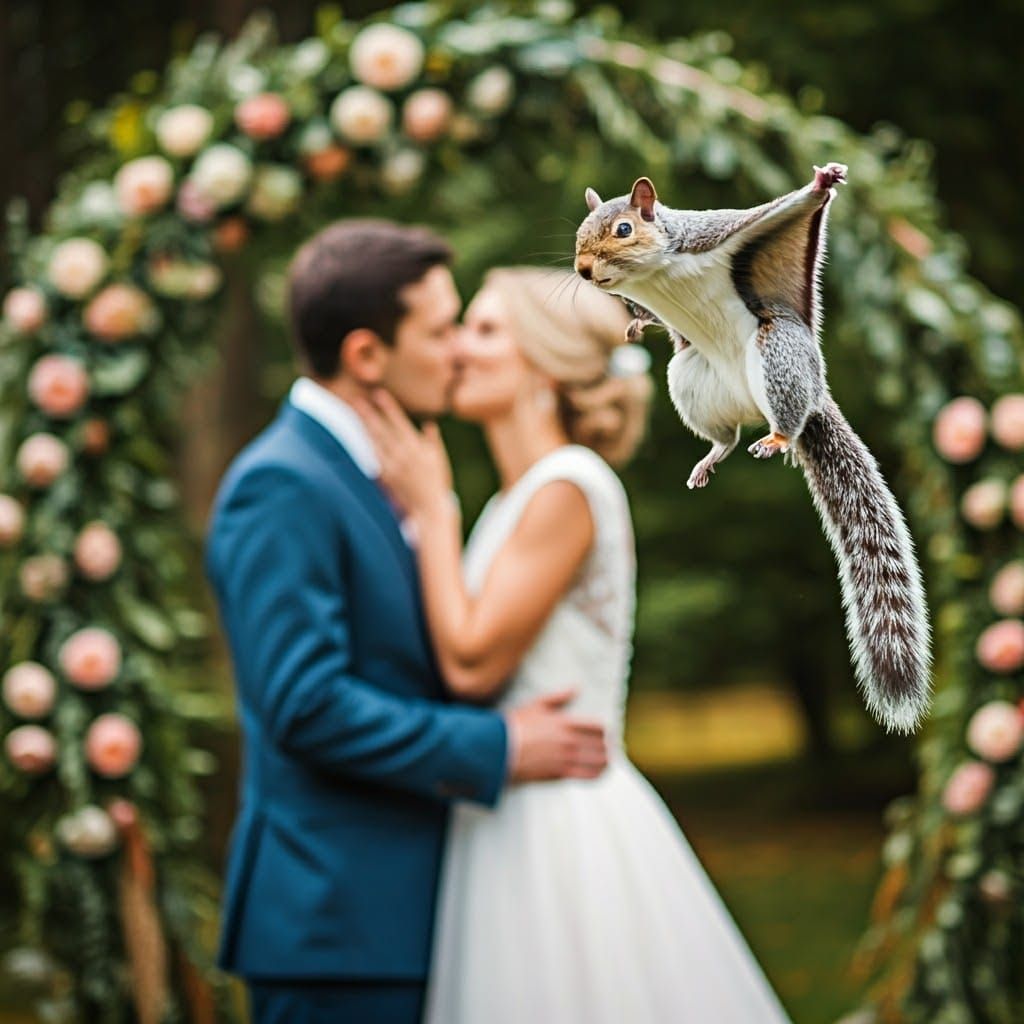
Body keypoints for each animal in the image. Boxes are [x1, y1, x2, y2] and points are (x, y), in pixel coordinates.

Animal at [573, 164, 931, 734]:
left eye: (624, 229)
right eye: (580, 232)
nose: (584, 270)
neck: (652, 275)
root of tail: (807, 394)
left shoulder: (714, 234)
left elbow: (778, 212)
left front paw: (822, 183)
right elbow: (648, 317)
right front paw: (634, 322)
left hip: (776, 350)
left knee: (783, 412)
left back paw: (779, 435)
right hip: (690, 377)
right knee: (725, 435)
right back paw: (712, 456)